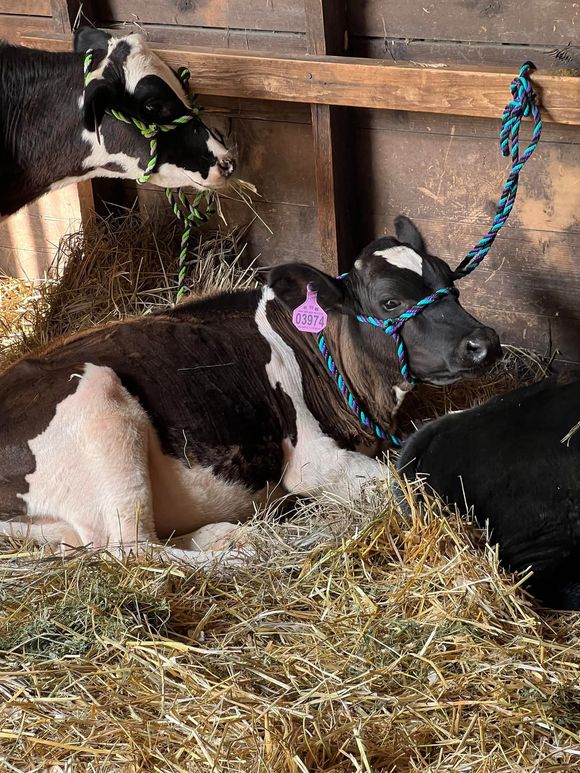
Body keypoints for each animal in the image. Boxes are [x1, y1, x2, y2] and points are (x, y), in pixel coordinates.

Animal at [0, 217, 500, 565]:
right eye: (390, 302)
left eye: (451, 282)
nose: (484, 342)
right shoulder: (313, 462)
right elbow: (406, 481)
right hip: (99, 405)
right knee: (133, 549)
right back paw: (245, 554)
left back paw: (231, 534)